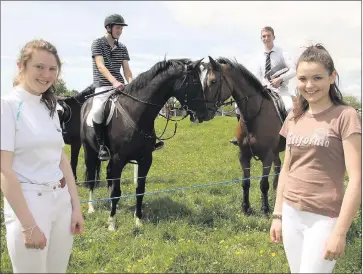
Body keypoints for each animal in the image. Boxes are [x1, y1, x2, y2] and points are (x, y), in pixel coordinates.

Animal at [80, 58, 210, 231]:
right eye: (195, 81)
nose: (204, 114)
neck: (136, 113)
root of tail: (86, 104)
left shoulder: (145, 159)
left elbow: (140, 190)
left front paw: (138, 220)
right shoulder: (118, 159)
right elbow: (116, 191)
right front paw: (112, 224)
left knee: (108, 177)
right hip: (90, 152)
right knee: (92, 179)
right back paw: (91, 208)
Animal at [202, 55, 288, 214]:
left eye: (213, 81)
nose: (203, 112)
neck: (254, 117)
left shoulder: (267, 156)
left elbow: (263, 183)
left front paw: (265, 208)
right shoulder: (243, 155)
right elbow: (245, 182)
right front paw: (246, 208)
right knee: (278, 167)